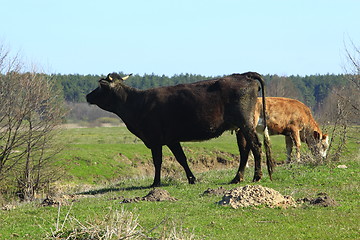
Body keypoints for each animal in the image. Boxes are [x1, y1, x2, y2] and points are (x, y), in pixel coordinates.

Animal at [86, 72, 272, 187]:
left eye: (100, 87)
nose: (88, 96)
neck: (137, 102)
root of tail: (243, 75)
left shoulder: (155, 139)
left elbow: (158, 161)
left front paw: (156, 183)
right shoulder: (171, 139)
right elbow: (182, 159)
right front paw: (192, 179)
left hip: (246, 124)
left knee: (255, 146)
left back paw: (257, 176)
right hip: (241, 127)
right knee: (245, 150)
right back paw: (237, 178)